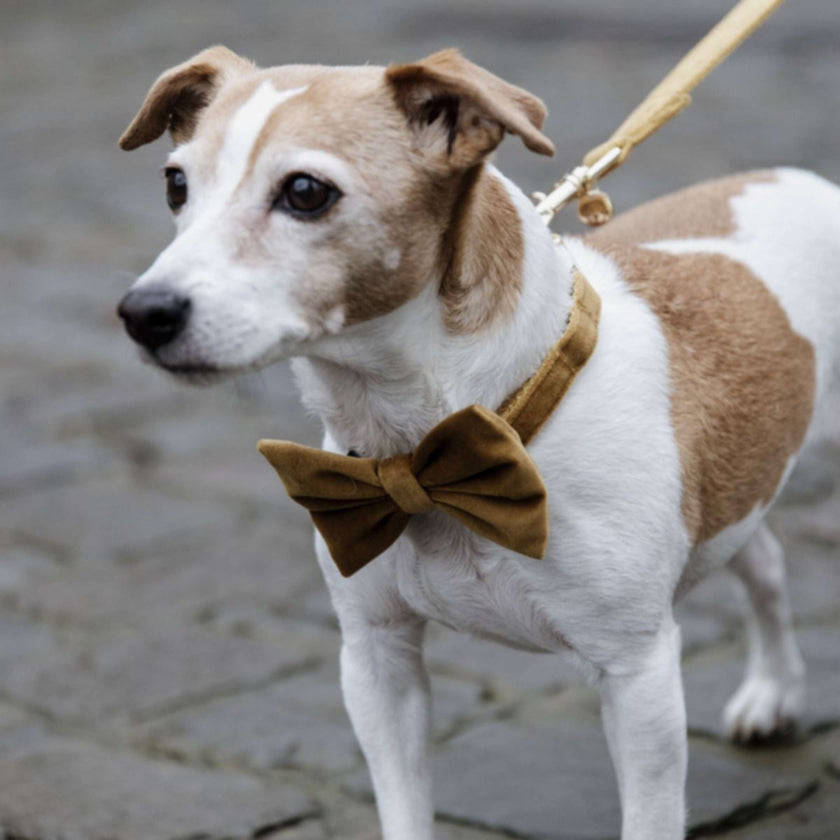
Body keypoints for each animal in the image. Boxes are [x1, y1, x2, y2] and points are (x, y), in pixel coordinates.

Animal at [116, 46, 840, 840]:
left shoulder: (638, 676)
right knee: (764, 562)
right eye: (175, 183)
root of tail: (796, 178)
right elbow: (403, 806)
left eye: (306, 191)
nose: (143, 313)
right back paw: (774, 691)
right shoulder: (376, 656)